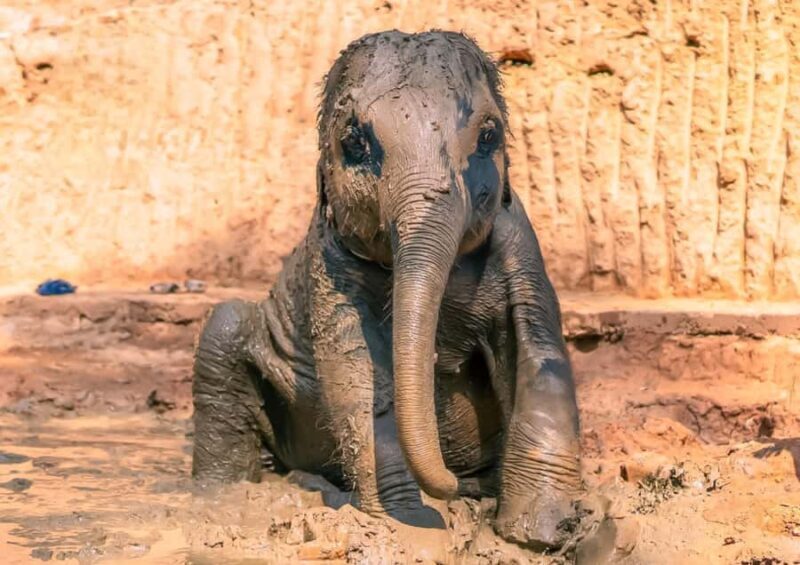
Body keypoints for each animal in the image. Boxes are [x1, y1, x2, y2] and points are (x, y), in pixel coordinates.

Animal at [191, 29, 583, 550]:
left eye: (489, 136)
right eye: (355, 143)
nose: (451, 486)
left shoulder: (520, 244)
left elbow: (539, 353)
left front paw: (542, 533)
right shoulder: (331, 261)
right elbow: (356, 371)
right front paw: (410, 525)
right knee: (224, 327)